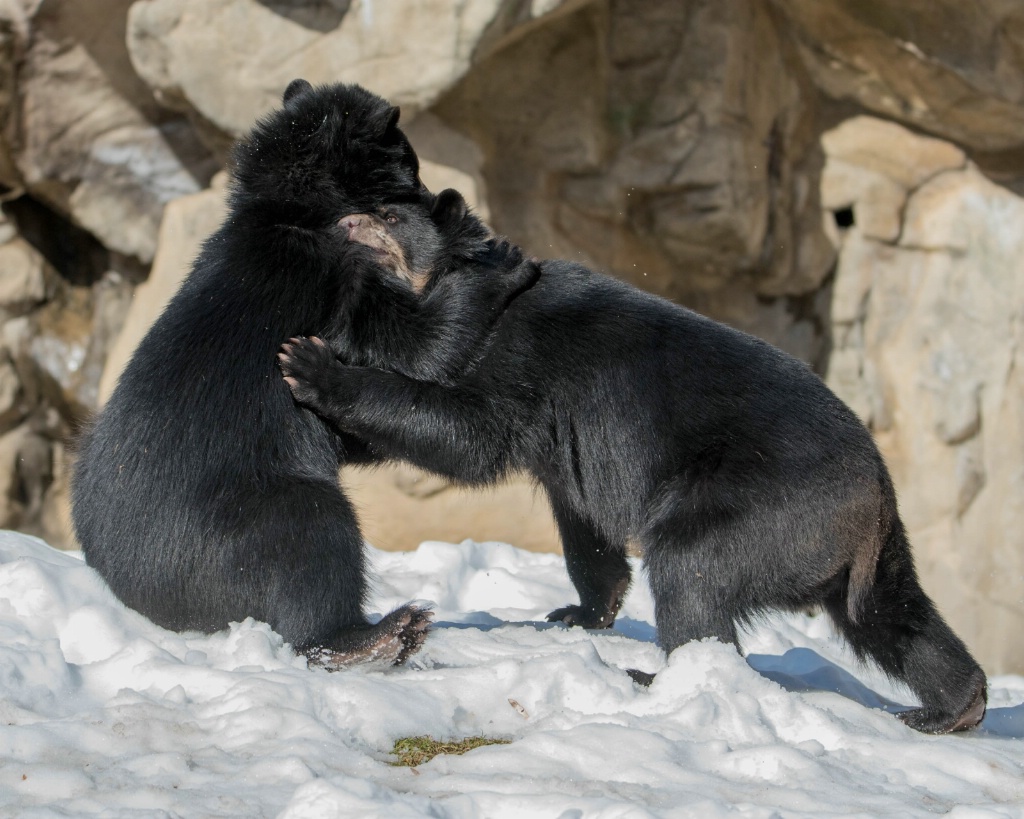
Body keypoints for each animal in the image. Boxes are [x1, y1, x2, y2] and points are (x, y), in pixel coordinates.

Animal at [72, 81, 536, 671]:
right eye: (413, 165)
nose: (437, 196)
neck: (294, 211)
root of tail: (140, 592)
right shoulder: (340, 274)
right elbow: (419, 343)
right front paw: (501, 258)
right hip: (253, 511)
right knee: (315, 544)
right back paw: (381, 634)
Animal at [278, 206, 983, 737]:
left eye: (390, 216)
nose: (342, 219)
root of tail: (874, 498)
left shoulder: (515, 356)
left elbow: (466, 431)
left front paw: (309, 363)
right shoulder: (563, 452)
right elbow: (581, 525)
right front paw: (577, 612)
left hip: (763, 503)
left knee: (693, 574)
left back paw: (664, 675)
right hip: (860, 552)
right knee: (896, 619)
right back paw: (950, 708)